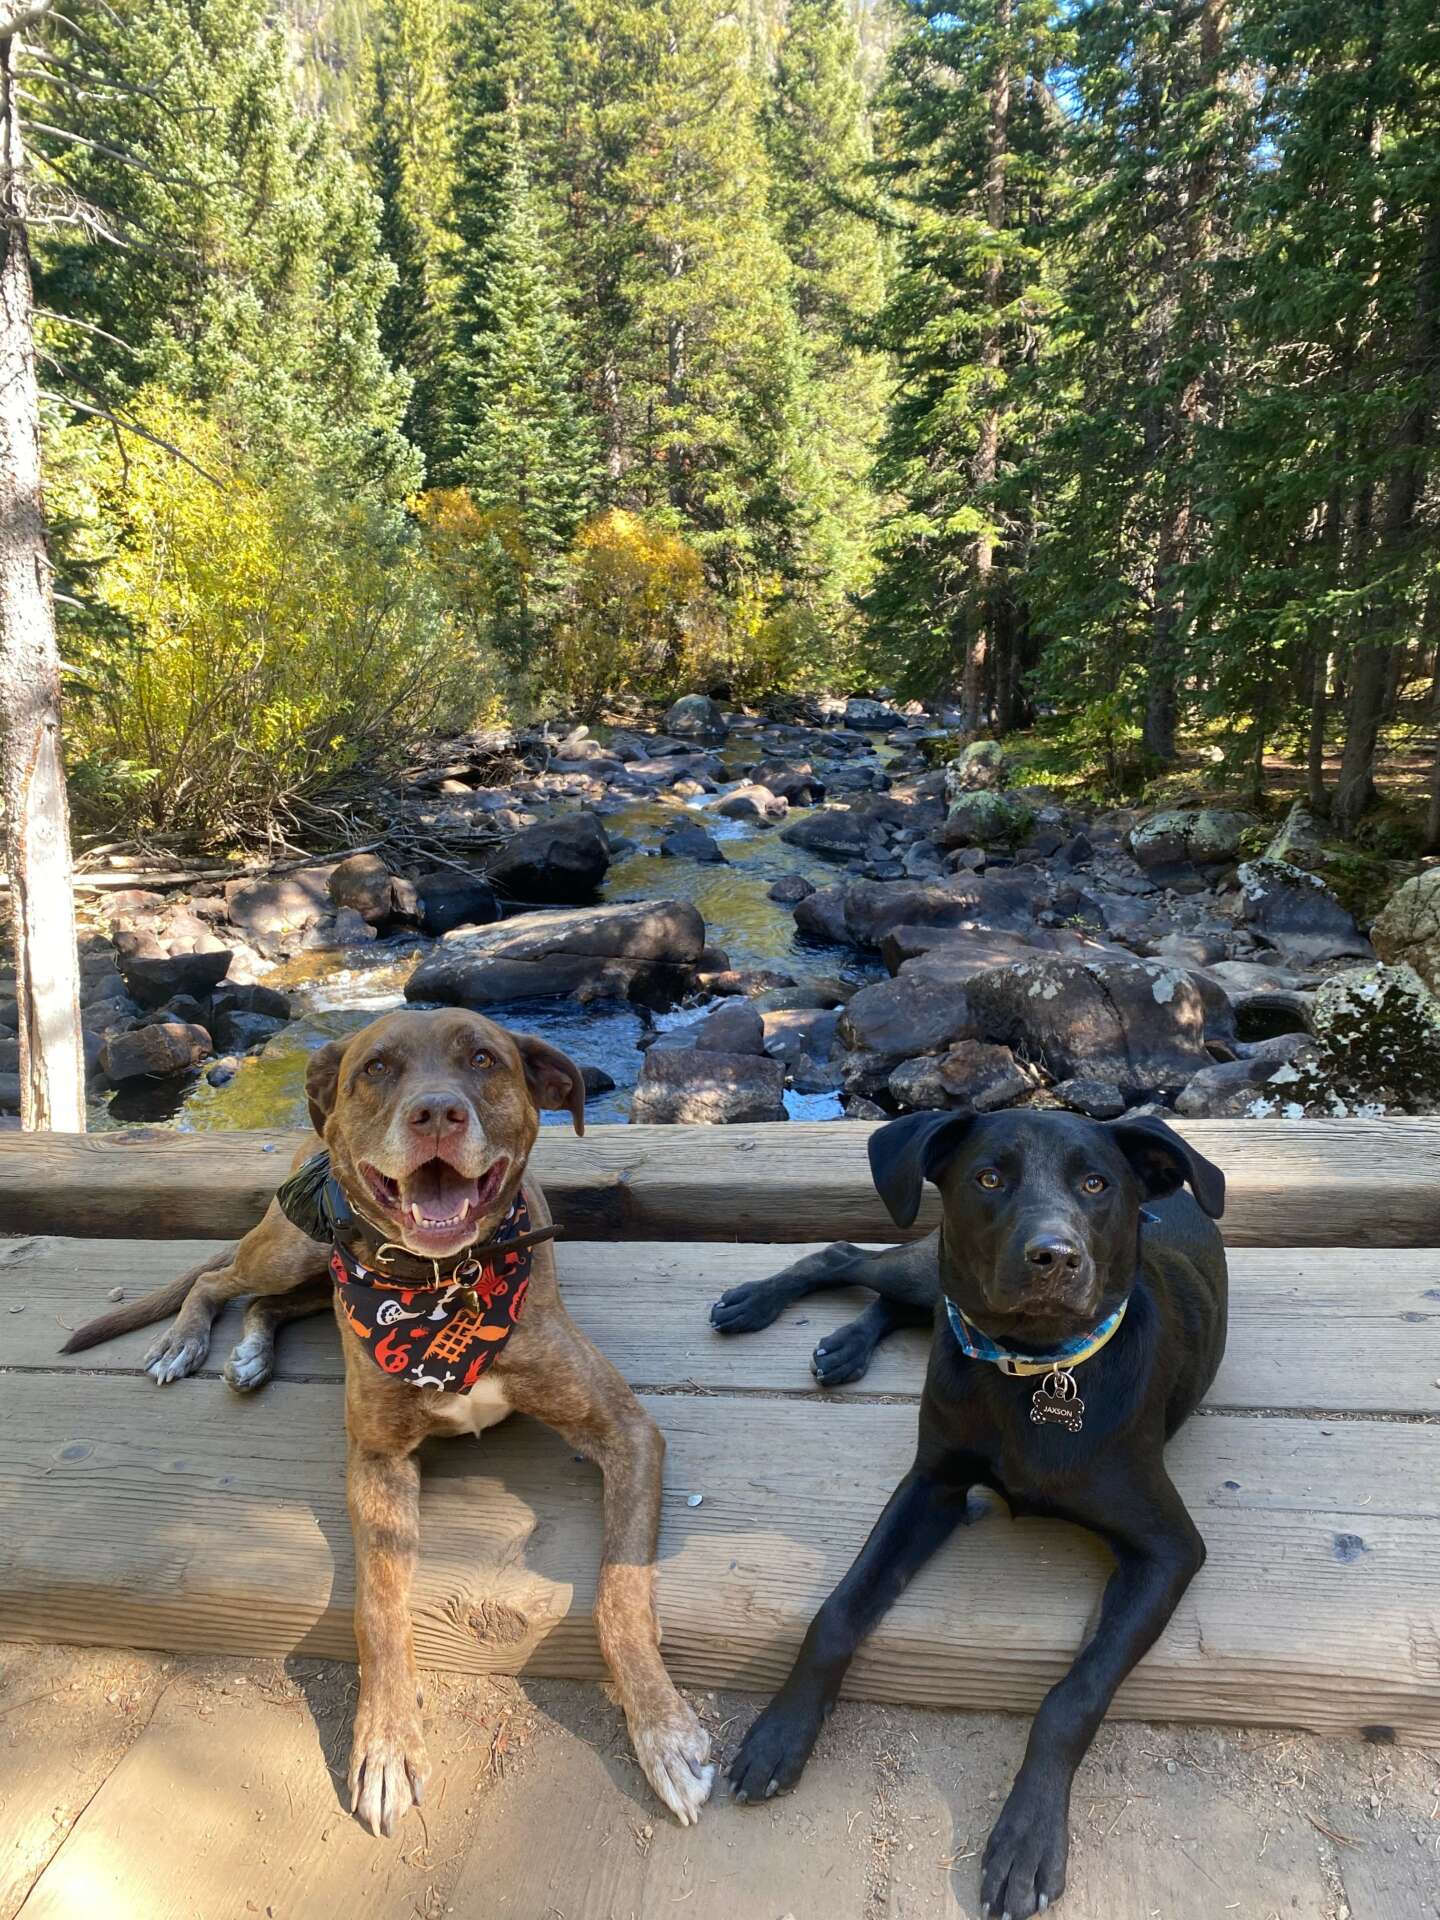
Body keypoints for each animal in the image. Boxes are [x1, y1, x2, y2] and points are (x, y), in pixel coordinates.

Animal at [62, 1008, 714, 1836]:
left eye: (483, 1059)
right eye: (376, 1068)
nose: (436, 1113)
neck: (447, 1290)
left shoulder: (626, 1431)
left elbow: (620, 1595)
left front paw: (663, 1728)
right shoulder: (375, 1461)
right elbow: (377, 1605)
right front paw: (385, 1743)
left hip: (312, 1273)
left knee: (270, 1304)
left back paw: (250, 1353)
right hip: (295, 1247)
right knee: (219, 1279)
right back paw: (188, 1342)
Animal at [710, 1109, 1226, 1919]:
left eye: (1096, 1184)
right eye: (988, 1177)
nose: (1054, 1257)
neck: (1037, 1370)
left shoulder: (1168, 1548)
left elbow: (1073, 1695)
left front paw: (1028, 1836)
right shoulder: (929, 1486)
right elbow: (836, 1613)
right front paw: (780, 1732)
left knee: (899, 1303)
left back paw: (846, 1345)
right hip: (930, 1265)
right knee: (851, 1259)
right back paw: (759, 1303)